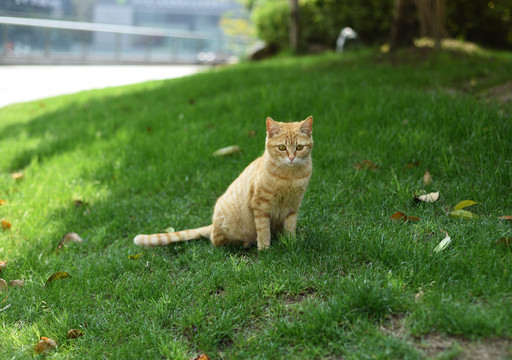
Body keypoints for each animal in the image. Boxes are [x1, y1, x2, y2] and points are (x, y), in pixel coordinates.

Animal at [133, 116, 312, 250]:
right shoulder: (261, 206)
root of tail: (212, 225)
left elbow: (290, 227)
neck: (289, 176)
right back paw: (243, 244)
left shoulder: (293, 206)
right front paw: (265, 249)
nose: (291, 158)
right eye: (282, 147)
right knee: (216, 241)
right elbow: (263, 231)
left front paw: (291, 243)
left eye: (299, 147)